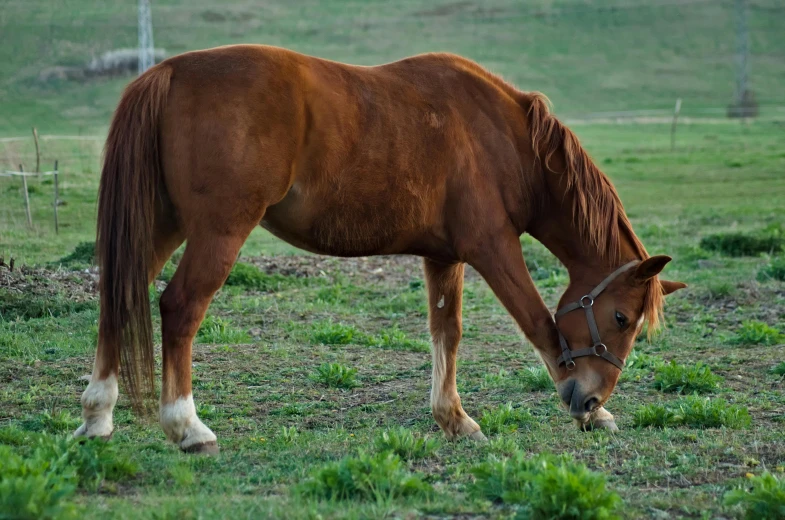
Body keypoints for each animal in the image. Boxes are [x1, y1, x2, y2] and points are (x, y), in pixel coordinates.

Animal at [75, 45, 688, 450]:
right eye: (621, 318)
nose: (590, 398)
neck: (505, 139)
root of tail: (168, 71)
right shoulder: (492, 248)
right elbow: (538, 323)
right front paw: (584, 410)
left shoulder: (444, 256)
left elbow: (447, 334)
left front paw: (452, 418)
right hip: (217, 231)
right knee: (179, 309)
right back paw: (186, 426)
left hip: (163, 226)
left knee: (118, 297)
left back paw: (97, 415)